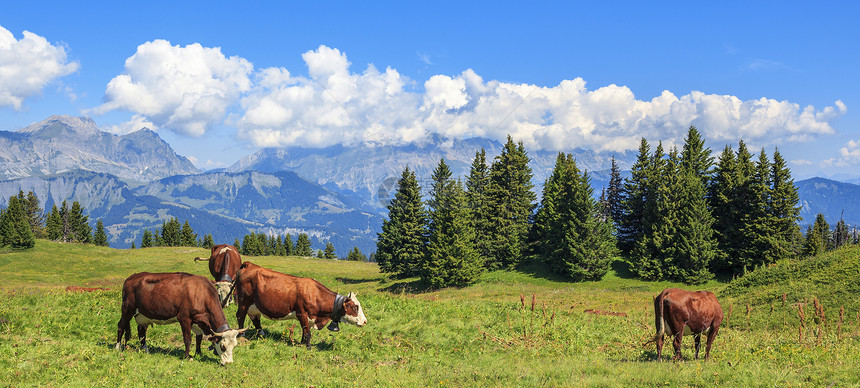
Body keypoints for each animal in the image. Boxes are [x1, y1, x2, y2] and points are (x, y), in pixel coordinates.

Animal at [116, 272, 247, 366]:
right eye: (223, 346)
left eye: (235, 346)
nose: (229, 363)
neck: (201, 293)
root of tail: (133, 276)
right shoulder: (184, 318)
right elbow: (187, 339)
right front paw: (187, 356)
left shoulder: (198, 320)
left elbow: (199, 338)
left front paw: (198, 353)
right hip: (127, 309)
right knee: (121, 326)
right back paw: (117, 347)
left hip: (143, 315)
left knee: (142, 332)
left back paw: (145, 350)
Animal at [233, 260, 368, 348]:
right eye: (355, 307)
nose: (365, 321)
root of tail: (249, 264)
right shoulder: (302, 313)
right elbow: (307, 332)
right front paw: (308, 347)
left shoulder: (309, 318)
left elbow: (305, 330)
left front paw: (302, 343)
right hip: (243, 302)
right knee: (240, 316)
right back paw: (242, 334)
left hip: (254, 306)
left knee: (255, 319)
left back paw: (261, 334)